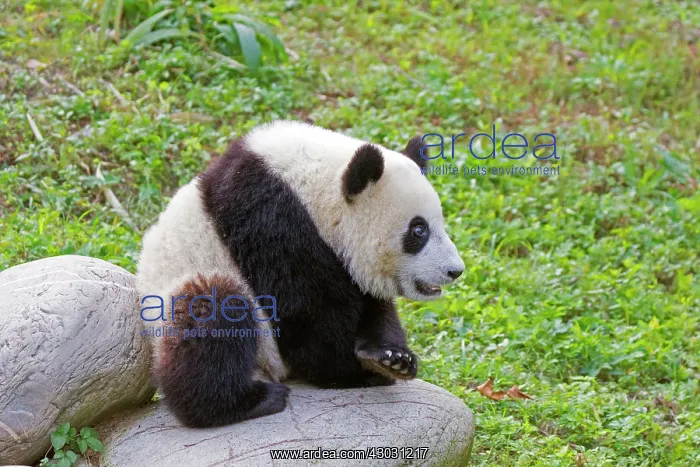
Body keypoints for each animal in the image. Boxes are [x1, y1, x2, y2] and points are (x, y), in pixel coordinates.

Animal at [136, 121, 465, 428]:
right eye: (418, 230)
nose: (455, 270)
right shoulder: (272, 224)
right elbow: (307, 311)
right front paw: (354, 370)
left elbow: (370, 303)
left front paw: (391, 359)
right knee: (214, 312)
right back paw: (247, 402)